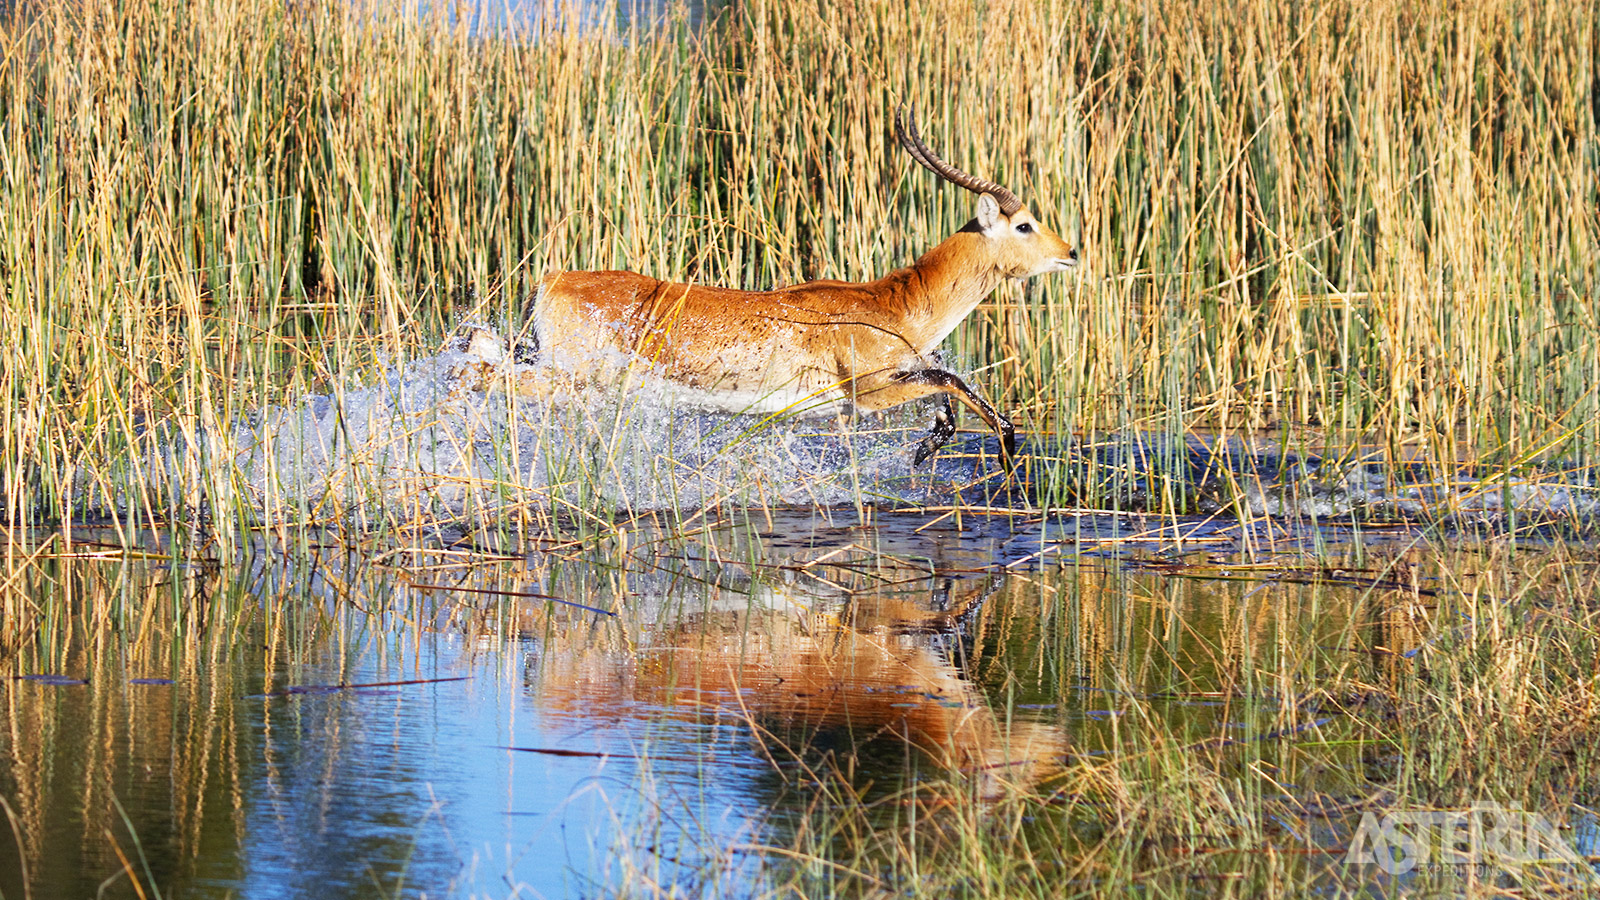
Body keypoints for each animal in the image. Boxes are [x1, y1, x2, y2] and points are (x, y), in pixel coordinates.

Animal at [480, 108, 1075, 464]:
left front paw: (928, 447)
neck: (893, 302)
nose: (1070, 252)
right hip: (571, 381)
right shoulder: (868, 394)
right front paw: (1004, 447)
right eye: (1024, 225)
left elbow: (948, 391)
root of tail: (551, 279)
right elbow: (952, 380)